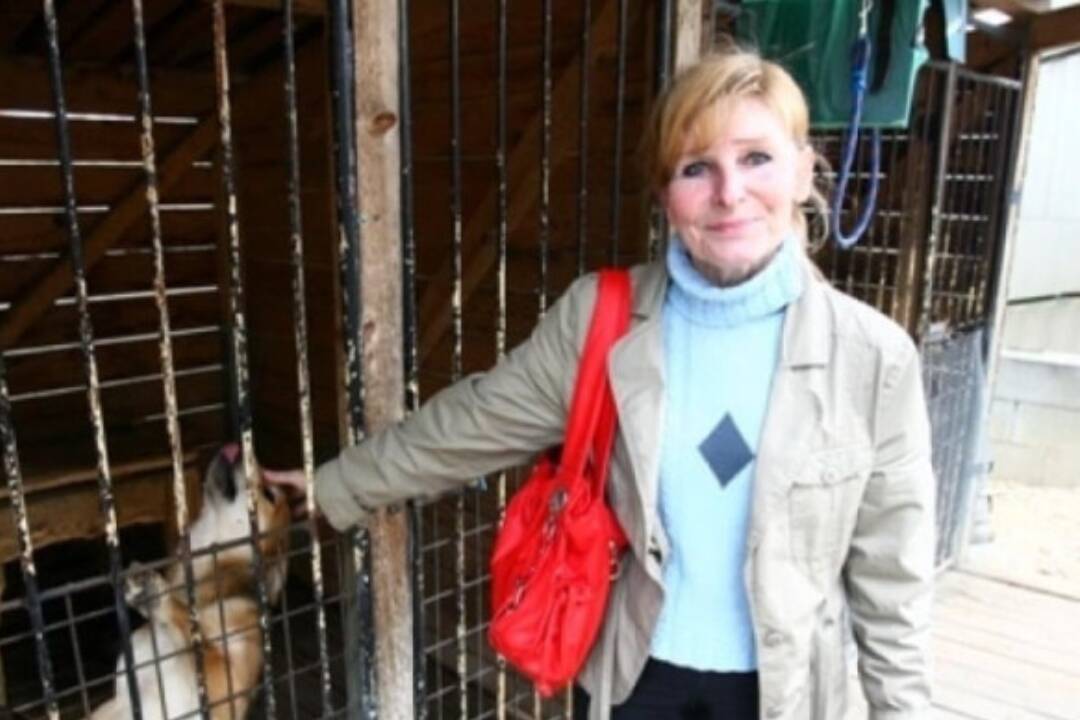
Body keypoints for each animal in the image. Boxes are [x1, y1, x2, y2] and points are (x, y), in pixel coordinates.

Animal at [89, 444, 291, 720]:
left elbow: (193, 631)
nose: (237, 446)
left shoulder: (225, 687)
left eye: (270, 494)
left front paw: (156, 596)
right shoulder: (121, 700)